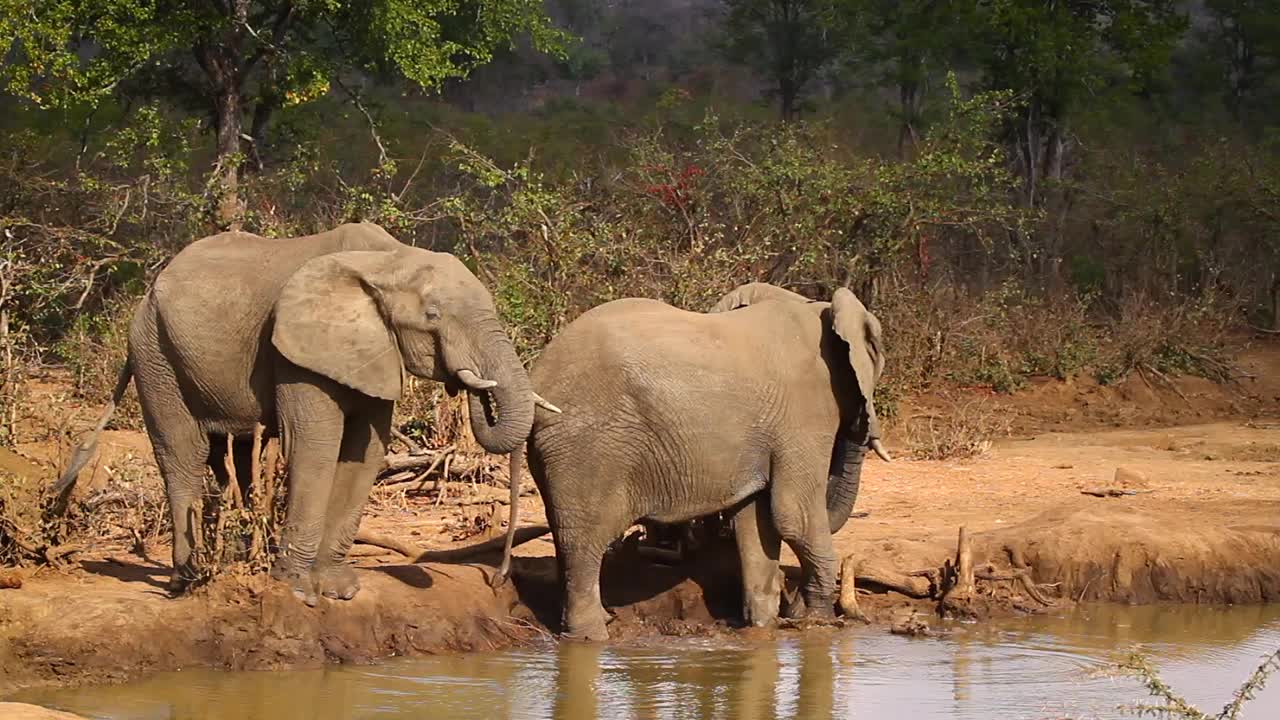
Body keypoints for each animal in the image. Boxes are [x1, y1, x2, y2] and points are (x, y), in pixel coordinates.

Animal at [56, 221, 555, 602]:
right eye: (432, 315)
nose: (499, 578)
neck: (388, 259)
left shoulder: (372, 351)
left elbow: (364, 453)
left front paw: (338, 589)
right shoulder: (297, 350)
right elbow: (315, 447)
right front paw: (297, 588)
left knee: (233, 457)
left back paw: (235, 560)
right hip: (154, 353)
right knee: (182, 454)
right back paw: (187, 580)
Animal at [499, 278, 890, 635]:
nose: (866, 428)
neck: (819, 309)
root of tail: (537, 378)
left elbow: (756, 519)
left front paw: (764, 627)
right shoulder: (804, 410)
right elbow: (793, 513)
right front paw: (815, 621)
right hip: (589, 447)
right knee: (584, 541)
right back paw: (592, 635)